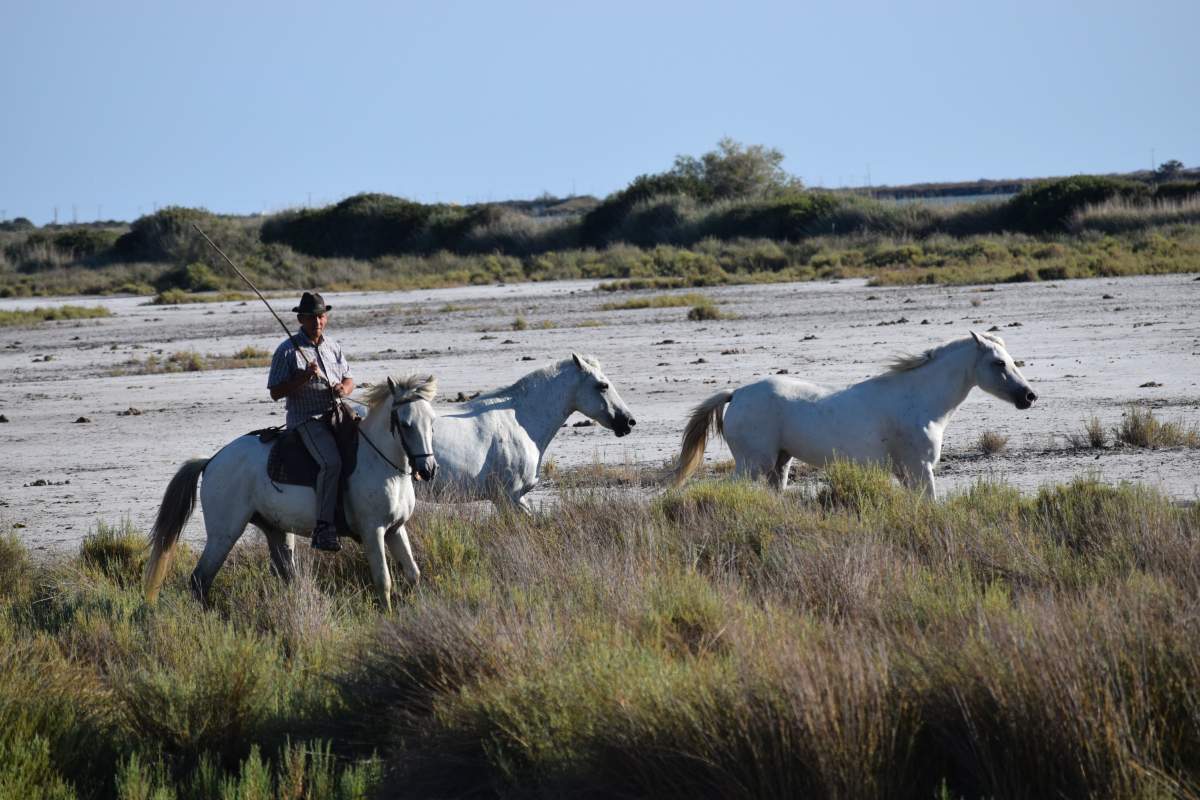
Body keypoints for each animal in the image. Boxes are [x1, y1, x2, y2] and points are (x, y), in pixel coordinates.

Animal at [143, 376, 439, 606]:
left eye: (432, 421)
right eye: (405, 423)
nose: (428, 469)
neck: (380, 462)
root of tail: (211, 460)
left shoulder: (395, 529)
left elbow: (413, 573)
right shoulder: (372, 531)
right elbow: (383, 580)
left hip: (277, 530)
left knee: (286, 575)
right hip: (223, 533)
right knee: (200, 579)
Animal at [672, 331, 1036, 494]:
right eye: (998, 363)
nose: (1029, 396)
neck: (920, 400)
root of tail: (737, 394)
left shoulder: (907, 472)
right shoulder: (920, 468)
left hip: (779, 464)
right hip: (753, 464)